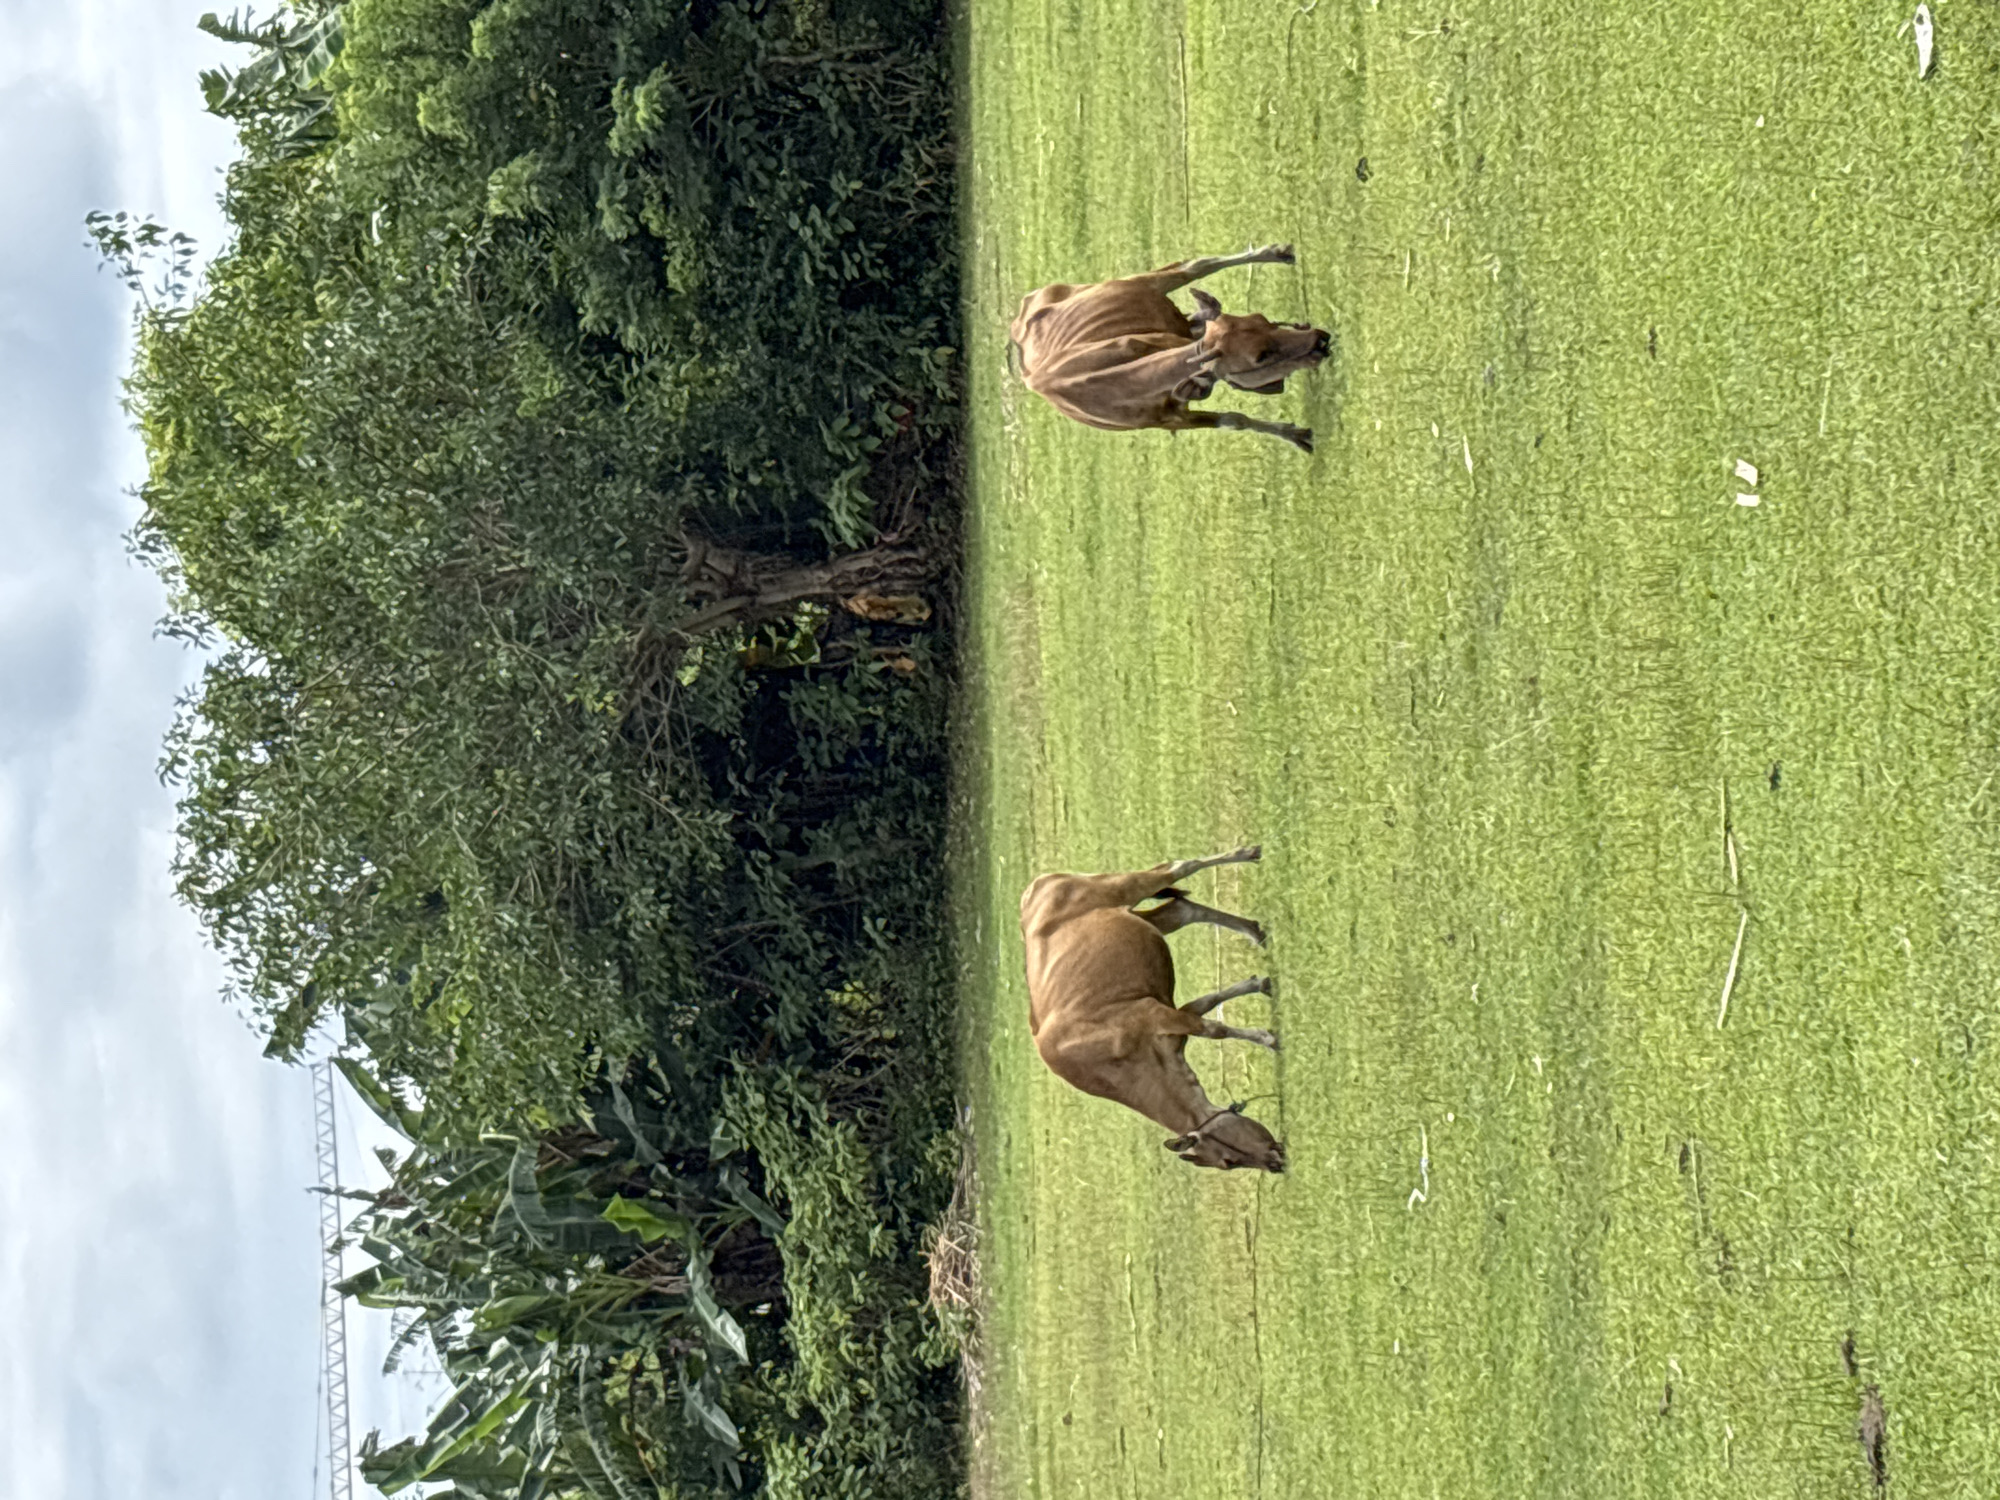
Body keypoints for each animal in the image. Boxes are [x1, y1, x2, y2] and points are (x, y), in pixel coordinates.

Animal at [1009, 244, 1330, 452]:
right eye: (1260, 358)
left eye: (1262, 319)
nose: (1321, 339)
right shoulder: (1172, 420)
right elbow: (1234, 421)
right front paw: (1294, 434)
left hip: (1142, 283)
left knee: (1193, 267)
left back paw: (1275, 254)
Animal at [1020, 845, 1285, 1172]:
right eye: (1229, 1162)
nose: (1276, 1164)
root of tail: (1034, 888)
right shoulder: (1168, 1014)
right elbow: (1204, 1005)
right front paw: (1261, 984)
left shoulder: (1152, 1013)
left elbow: (1214, 1029)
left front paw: (1271, 1039)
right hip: (1145, 921)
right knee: (1184, 910)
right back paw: (1254, 931)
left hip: (1125, 886)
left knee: (1181, 866)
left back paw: (1247, 854)